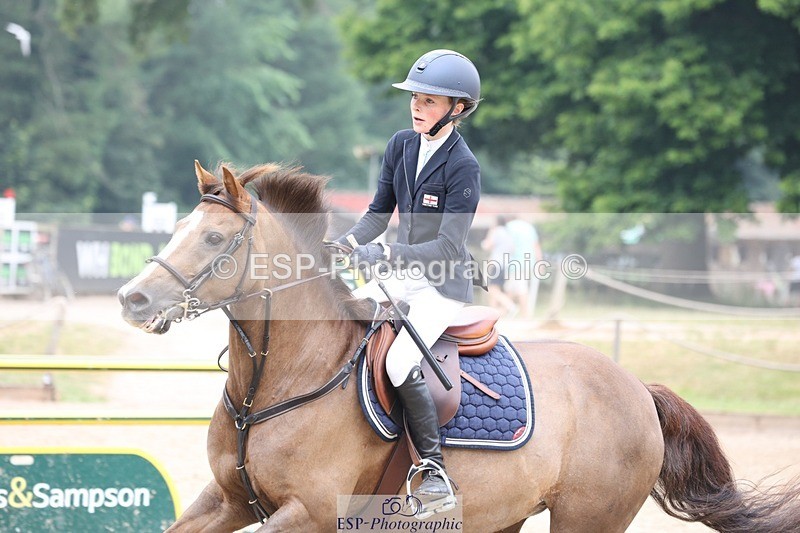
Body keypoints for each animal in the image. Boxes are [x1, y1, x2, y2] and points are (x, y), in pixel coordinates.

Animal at [118, 161, 800, 532]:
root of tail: (636, 387)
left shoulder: (309, 511)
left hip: (588, 518)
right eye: (178, 228)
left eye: (213, 239)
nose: (132, 299)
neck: (279, 378)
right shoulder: (228, 500)